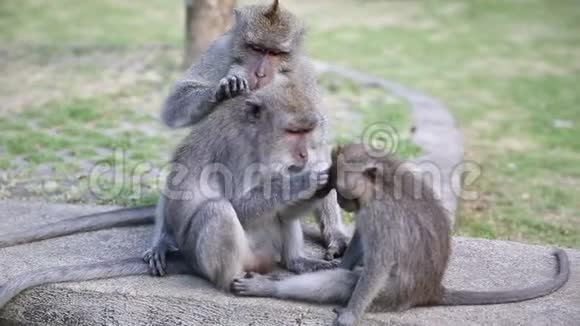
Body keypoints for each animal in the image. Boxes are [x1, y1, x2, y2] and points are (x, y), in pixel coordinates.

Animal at [0, 77, 342, 308]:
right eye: (293, 132)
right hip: (209, 255)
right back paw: (235, 282)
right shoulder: (238, 150)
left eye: (308, 131)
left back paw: (296, 262)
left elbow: (283, 208)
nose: (305, 155)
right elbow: (240, 205)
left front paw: (323, 178)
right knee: (217, 210)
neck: (259, 134)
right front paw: (306, 179)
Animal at [232, 144, 572, 326]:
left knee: (349, 283)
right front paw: (341, 259)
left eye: (340, 187)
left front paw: (350, 315)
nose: (341, 201)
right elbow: (361, 239)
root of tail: (431, 289)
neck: (382, 181)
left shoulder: (381, 214)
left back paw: (268, 288)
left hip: (395, 295)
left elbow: (378, 264)